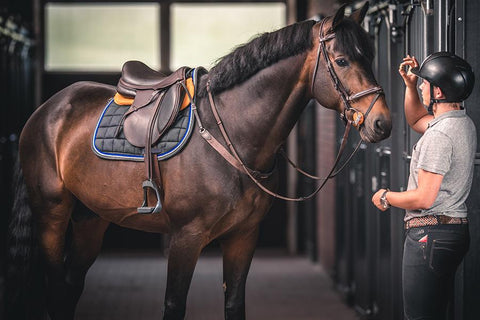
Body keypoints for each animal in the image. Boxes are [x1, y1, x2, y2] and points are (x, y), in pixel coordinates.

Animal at [6, 3, 390, 320]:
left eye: (371, 56)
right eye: (342, 61)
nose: (381, 123)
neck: (231, 134)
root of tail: (47, 109)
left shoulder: (243, 236)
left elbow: (234, 303)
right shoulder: (185, 238)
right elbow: (174, 305)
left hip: (91, 218)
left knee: (70, 288)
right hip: (51, 213)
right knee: (56, 288)